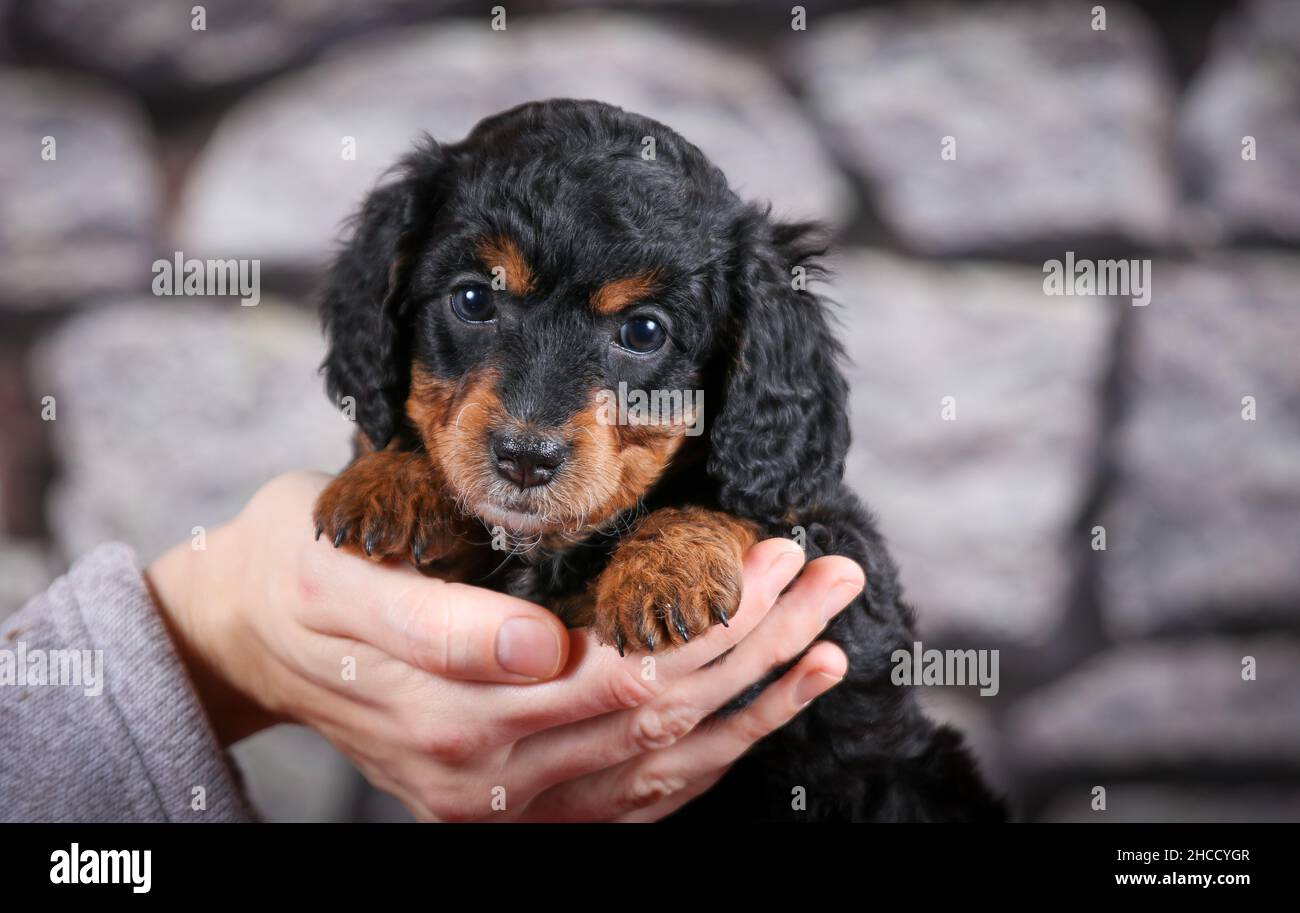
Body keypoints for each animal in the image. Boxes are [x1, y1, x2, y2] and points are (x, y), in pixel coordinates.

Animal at [314, 98, 1003, 821]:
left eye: (643, 331)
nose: (526, 458)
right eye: (473, 299)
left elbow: (740, 507)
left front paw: (668, 568)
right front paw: (390, 477)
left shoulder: (835, 566)